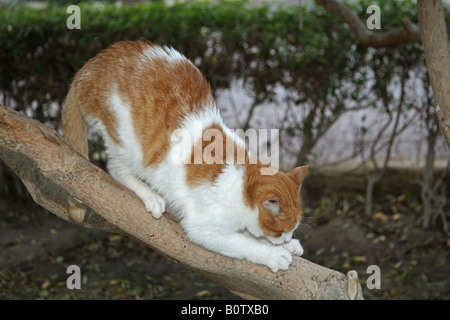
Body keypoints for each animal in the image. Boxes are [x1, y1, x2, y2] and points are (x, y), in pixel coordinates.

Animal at [61, 41, 310, 272]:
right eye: (281, 230)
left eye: (292, 230)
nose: (287, 238)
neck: (242, 181)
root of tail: (94, 62)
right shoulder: (203, 228)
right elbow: (244, 242)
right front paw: (274, 253)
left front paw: (289, 246)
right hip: (125, 140)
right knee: (116, 169)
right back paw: (150, 194)